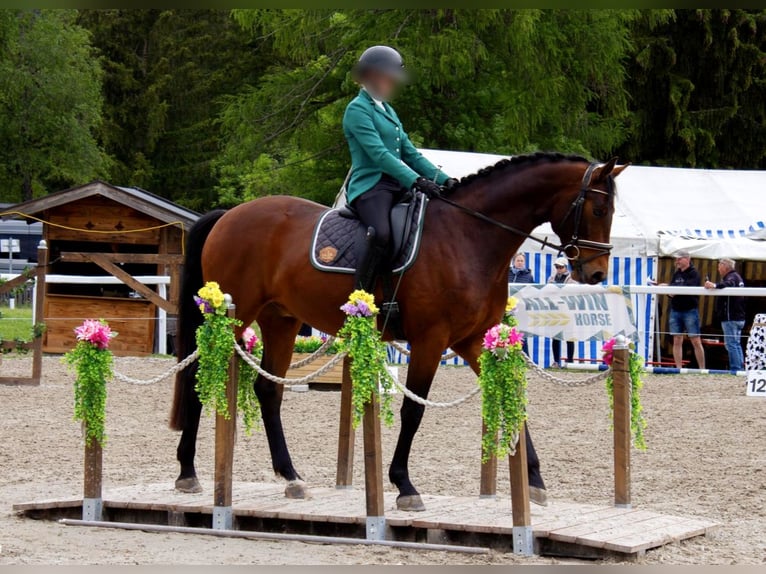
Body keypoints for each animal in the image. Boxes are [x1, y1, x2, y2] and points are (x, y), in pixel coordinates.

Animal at [169, 152, 627, 511]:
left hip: (280, 320)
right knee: (196, 379)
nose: (596, 273)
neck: (470, 235)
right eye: (598, 210)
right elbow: (414, 409)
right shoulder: (430, 339)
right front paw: (404, 485)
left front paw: (534, 481)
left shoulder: (473, 340)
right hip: (232, 316)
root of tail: (229, 214)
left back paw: (291, 477)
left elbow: (511, 400)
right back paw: (188, 472)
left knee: (269, 391)